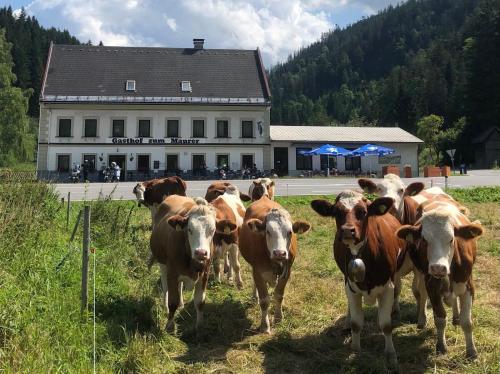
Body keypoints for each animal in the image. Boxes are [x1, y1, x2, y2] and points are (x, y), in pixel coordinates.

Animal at [150, 196, 236, 334]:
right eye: (189, 229)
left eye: (213, 230)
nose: (201, 252)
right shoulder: (172, 273)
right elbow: (172, 301)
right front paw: (169, 326)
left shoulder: (204, 274)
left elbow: (200, 301)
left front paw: (199, 327)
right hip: (162, 264)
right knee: (165, 286)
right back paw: (165, 305)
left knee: (179, 287)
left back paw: (181, 304)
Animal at [240, 196, 310, 334]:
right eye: (268, 231)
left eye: (290, 232)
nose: (280, 253)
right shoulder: (258, 271)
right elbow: (264, 300)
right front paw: (265, 325)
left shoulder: (287, 272)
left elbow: (279, 295)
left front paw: (278, 318)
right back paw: (254, 297)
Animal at [312, 191, 402, 366]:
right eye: (336, 212)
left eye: (363, 212)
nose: (348, 231)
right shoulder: (352, 287)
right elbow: (356, 323)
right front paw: (355, 349)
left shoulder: (387, 287)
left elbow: (386, 325)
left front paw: (391, 353)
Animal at [396, 199, 482, 360]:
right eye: (424, 240)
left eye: (451, 239)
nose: (438, 268)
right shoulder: (432, 286)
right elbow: (440, 318)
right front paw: (441, 346)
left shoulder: (468, 286)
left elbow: (467, 322)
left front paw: (472, 351)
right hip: (421, 273)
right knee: (421, 293)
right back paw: (422, 319)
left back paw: (456, 316)